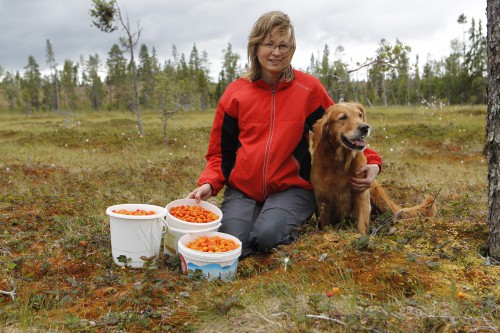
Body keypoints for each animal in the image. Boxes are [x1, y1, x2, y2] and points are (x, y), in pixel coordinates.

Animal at [310, 102, 436, 233]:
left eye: (360, 115)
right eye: (343, 117)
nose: (365, 127)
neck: (340, 164)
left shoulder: (361, 194)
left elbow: (362, 224)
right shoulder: (322, 200)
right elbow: (325, 225)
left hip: (378, 196)